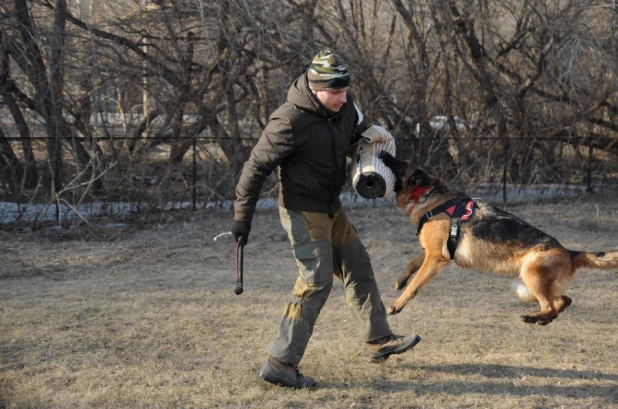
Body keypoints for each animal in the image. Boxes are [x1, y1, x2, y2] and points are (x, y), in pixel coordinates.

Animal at [378, 151, 616, 326]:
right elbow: (413, 262)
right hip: (524, 289)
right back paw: (541, 319)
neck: (428, 196)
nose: (382, 152)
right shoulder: (434, 252)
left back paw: (534, 317)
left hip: (532, 276)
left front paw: (397, 305)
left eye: (400, 163)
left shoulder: (437, 257)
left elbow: (415, 285)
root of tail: (569, 252)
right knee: (563, 300)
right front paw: (401, 279)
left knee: (550, 306)